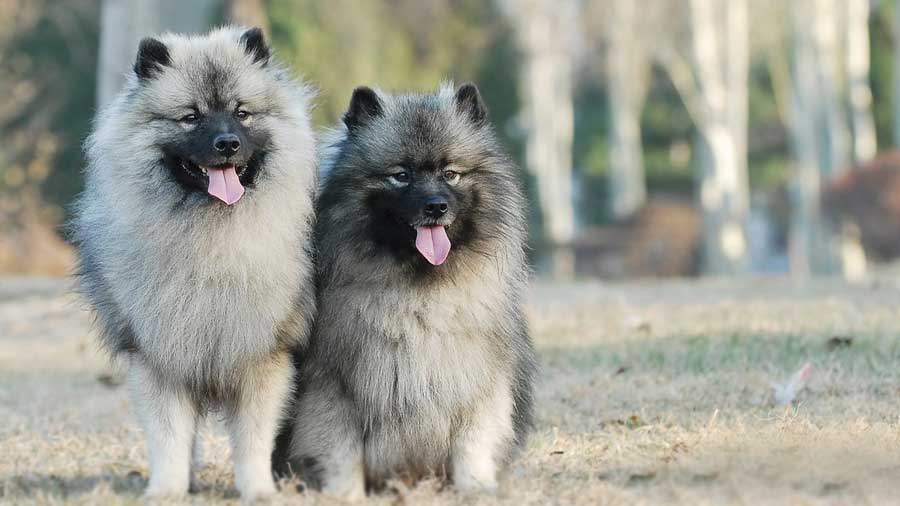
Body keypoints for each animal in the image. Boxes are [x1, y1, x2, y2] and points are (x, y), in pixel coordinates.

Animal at [71, 26, 316, 498]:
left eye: (242, 113)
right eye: (190, 117)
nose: (227, 144)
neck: (210, 237)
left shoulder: (262, 357)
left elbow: (253, 439)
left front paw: (258, 492)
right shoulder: (160, 357)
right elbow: (169, 438)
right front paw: (166, 491)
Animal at [274, 83, 536, 498]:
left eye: (450, 173)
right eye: (400, 175)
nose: (436, 206)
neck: (418, 296)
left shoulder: (479, 388)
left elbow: (472, 447)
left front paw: (475, 490)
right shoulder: (332, 392)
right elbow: (341, 454)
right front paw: (346, 496)